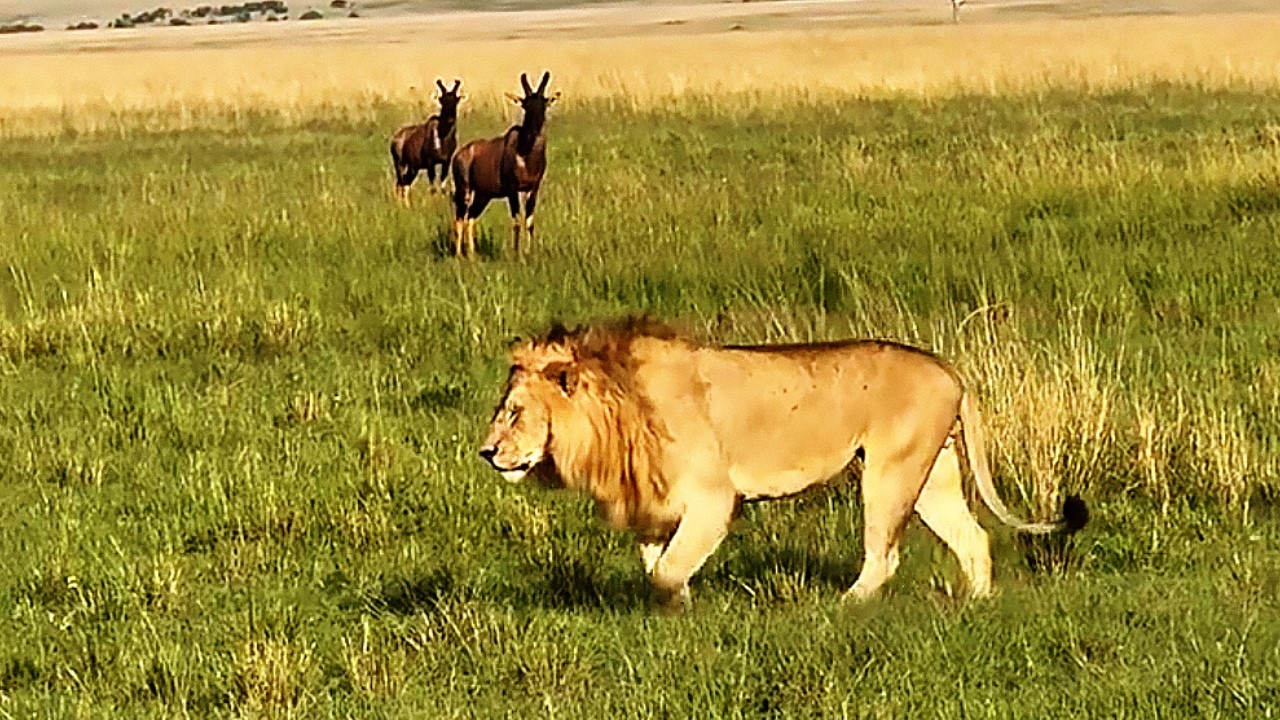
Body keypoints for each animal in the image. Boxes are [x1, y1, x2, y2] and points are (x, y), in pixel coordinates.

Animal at [479, 317, 1086, 611]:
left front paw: (682, 608)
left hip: (889, 471)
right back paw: (977, 603)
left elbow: (670, 569)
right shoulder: (653, 503)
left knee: (884, 555)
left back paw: (843, 608)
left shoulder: (714, 499)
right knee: (973, 538)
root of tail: (949, 368)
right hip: (932, 474)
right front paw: (677, 611)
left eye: (514, 413)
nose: (486, 452)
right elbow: (658, 567)